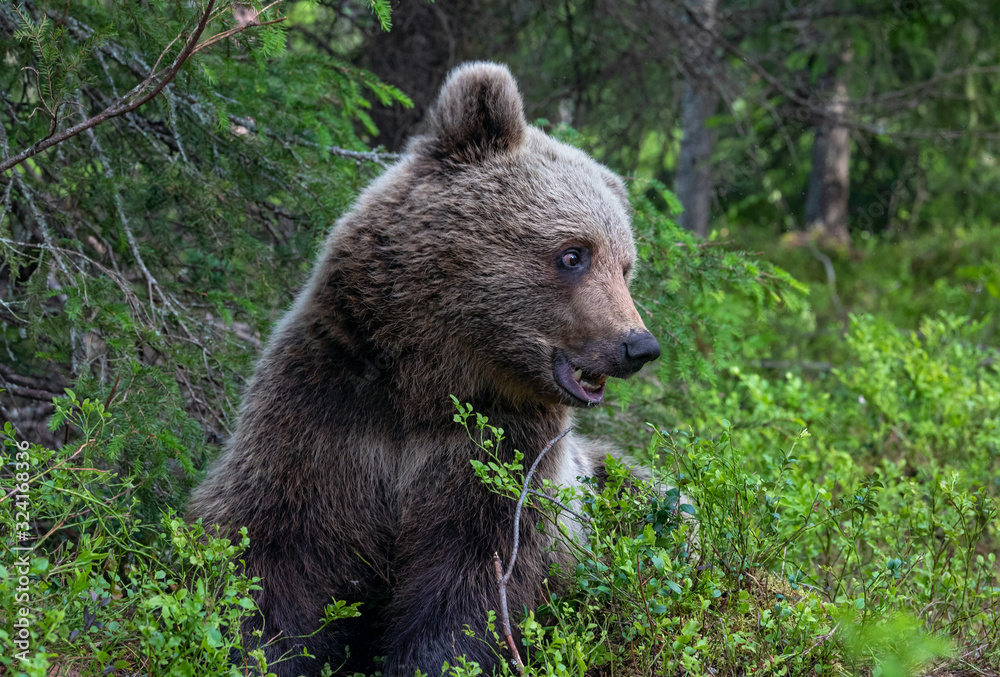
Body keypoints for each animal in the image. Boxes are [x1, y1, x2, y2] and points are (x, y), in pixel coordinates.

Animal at [187, 61, 661, 677]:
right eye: (574, 253)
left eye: (625, 266)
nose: (638, 345)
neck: (429, 384)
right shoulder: (326, 411)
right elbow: (273, 545)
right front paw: (260, 647)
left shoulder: (503, 449)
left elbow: (472, 576)